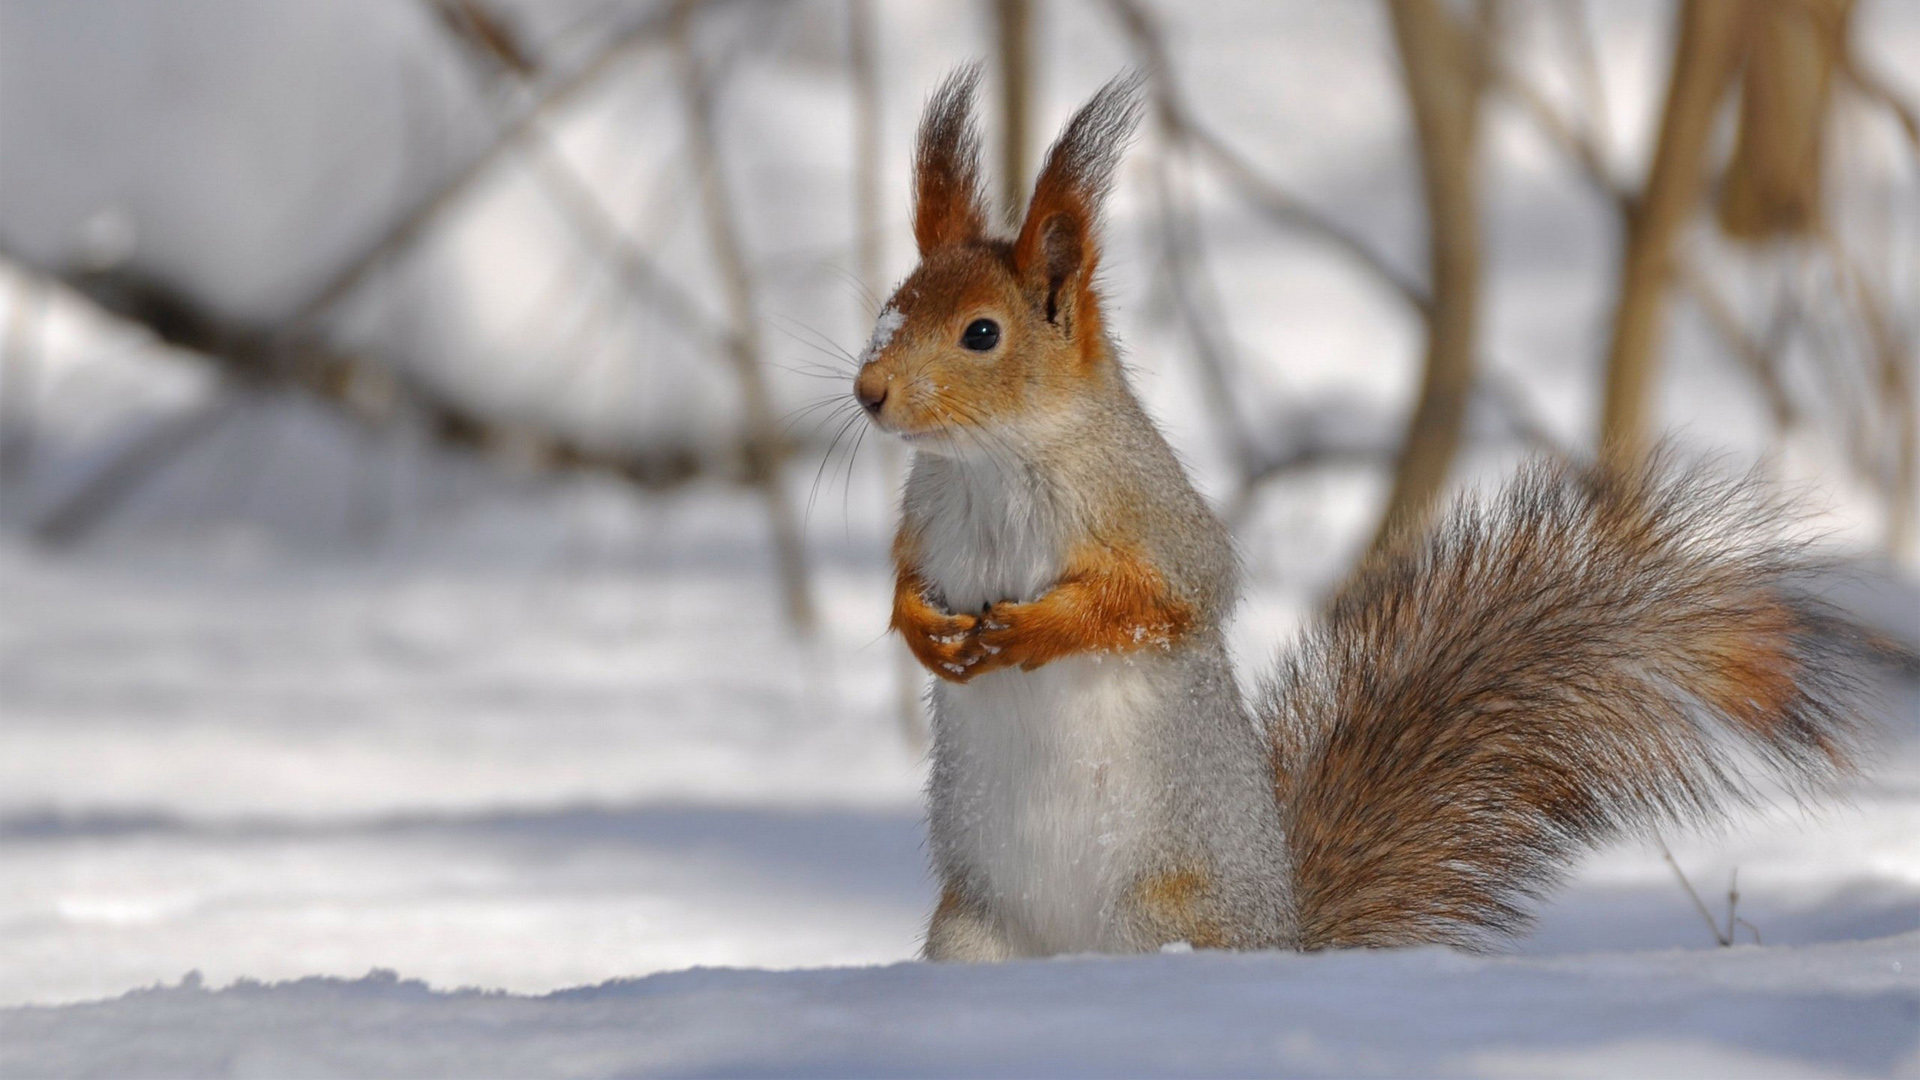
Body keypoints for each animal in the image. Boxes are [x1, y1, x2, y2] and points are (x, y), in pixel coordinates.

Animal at [848, 71, 1866, 953]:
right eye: (890, 307)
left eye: (983, 333)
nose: (868, 392)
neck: (990, 464)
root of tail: (1287, 942)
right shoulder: (925, 515)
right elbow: (904, 577)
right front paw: (921, 628)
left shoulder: (1152, 515)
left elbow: (1168, 600)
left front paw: (1032, 631)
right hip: (972, 931)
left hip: (1157, 913)